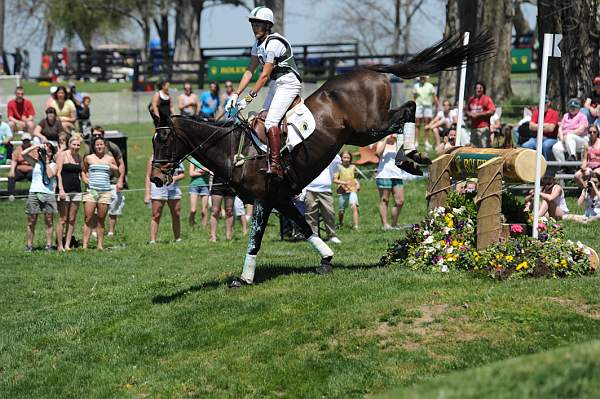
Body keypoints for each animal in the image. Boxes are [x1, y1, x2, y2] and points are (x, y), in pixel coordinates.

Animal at [152, 32, 494, 288]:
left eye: (164, 140)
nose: (156, 178)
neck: (234, 150)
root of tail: (373, 70)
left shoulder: (264, 198)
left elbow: (254, 240)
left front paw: (244, 279)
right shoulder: (281, 198)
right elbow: (307, 228)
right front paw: (326, 258)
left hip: (369, 128)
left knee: (408, 109)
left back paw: (408, 156)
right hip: (360, 133)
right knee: (405, 111)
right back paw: (408, 157)